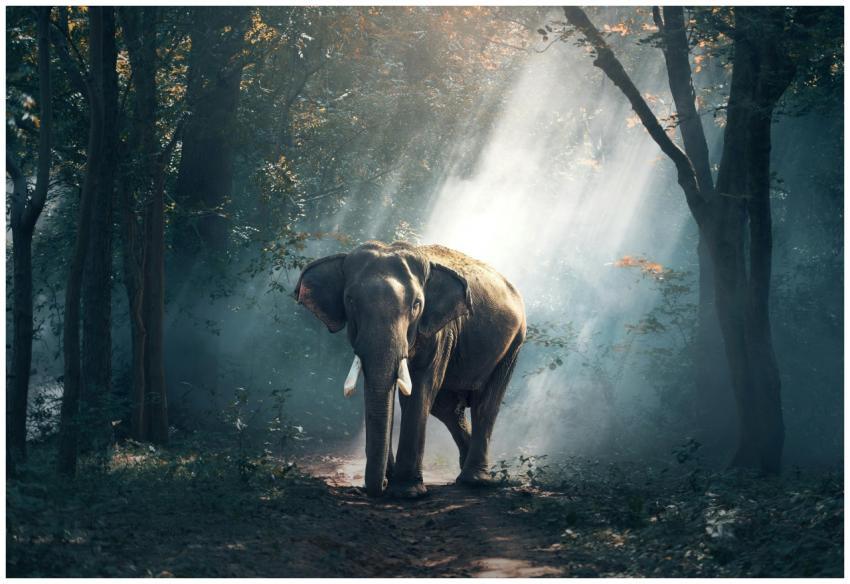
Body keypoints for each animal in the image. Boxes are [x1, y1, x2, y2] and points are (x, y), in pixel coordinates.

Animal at [294, 241, 526, 498]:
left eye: (416, 305)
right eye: (350, 300)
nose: (379, 486)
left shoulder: (439, 331)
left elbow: (420, 390)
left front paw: (407, 492)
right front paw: (392, 481)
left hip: (513, 344)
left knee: (485, 404)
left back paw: (475, 481)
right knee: (447, 408)